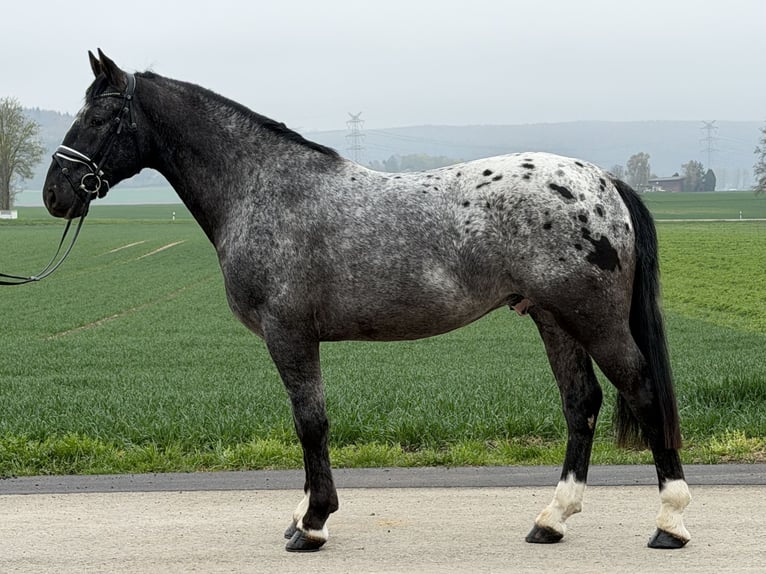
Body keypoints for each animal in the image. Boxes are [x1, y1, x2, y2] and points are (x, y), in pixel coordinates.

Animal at [43, 50, 691, 552]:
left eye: (99, 114)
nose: (54, 193)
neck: (262, 188)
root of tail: (604, 183)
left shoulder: (288, 334)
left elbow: (310, 422)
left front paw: (312, 525)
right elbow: (308, 423)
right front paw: (301, 517)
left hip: (594, 321)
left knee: (642, 392)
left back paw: (670, 522)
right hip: (553, 320)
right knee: (581, 404)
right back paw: (551, 521)